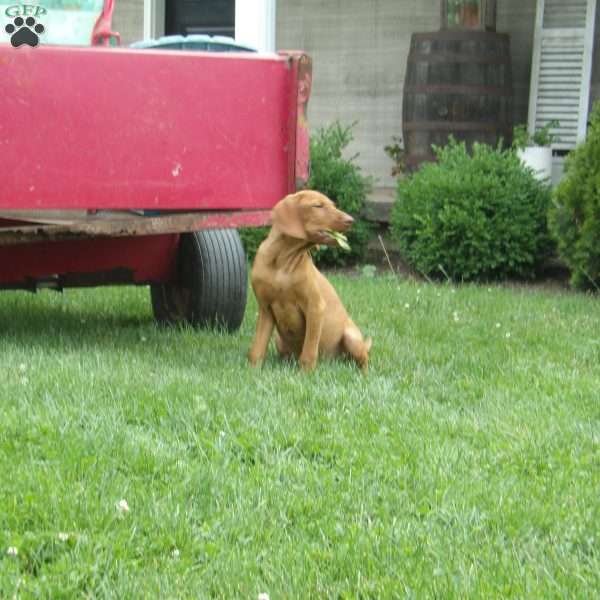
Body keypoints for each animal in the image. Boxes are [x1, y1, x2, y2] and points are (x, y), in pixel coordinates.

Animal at [247, 192, 370, 370]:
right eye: (318, 206)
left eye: (333, 205)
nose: (350, 220)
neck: (283, 262)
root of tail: (333, 361)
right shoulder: (265, 309)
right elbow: (257, 348)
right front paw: (253, 370)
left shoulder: (315, 307)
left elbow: (309, 350)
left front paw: (305, 373)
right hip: (278, 339)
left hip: (351, 337)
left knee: (364, 360)